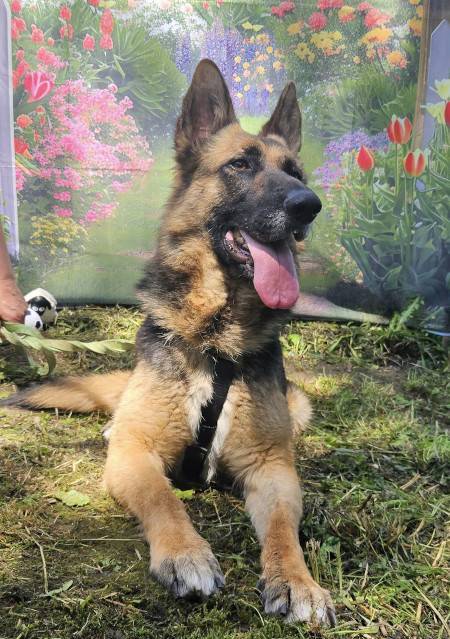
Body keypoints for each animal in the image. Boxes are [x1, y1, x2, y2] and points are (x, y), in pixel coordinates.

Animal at [3, 60, 336, 626]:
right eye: (241, 165)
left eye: (296, 173)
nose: (307, 205)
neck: (216, 337)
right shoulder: (137, 454)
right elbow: (164, 499)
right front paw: (185, 554)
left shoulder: (273, 468)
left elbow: (282, 532)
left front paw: (298, 582)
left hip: (299, 406)